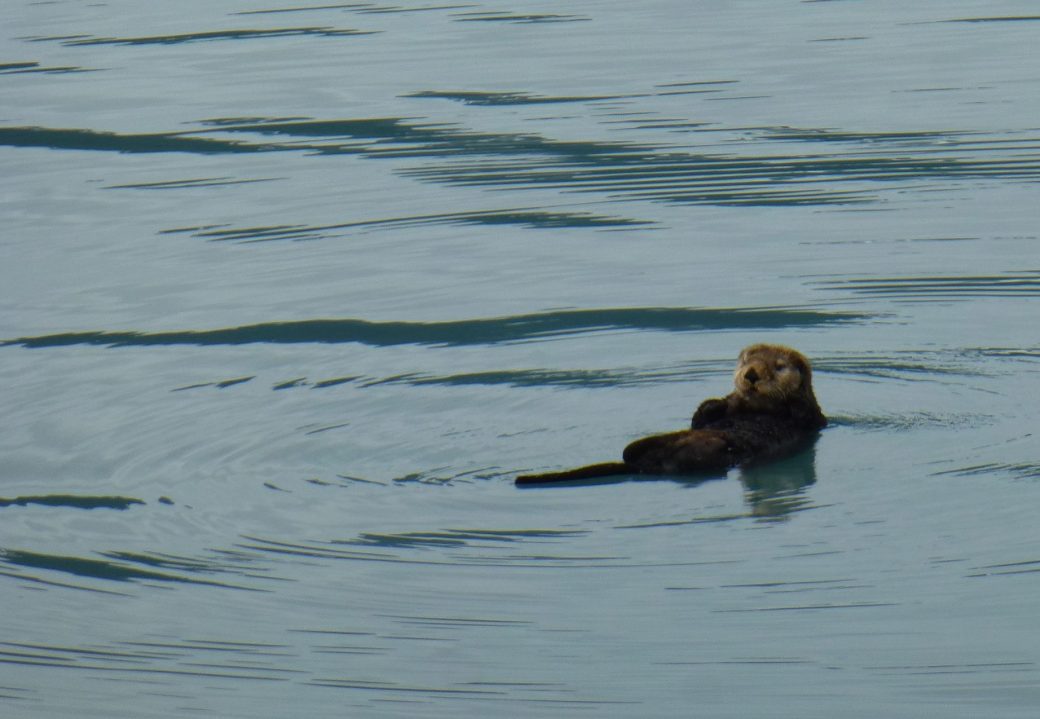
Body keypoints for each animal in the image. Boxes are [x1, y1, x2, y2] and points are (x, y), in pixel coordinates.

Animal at [515, 344, 826, 485]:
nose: (750, 374)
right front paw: (711, 405)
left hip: (704, 453)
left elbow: (800, 415)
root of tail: (643, 466)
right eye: (746, 361)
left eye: (779, 366)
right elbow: (704, 416)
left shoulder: (811, 419)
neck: (753, 407)